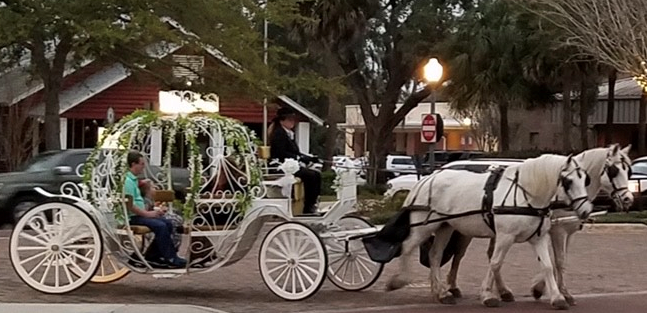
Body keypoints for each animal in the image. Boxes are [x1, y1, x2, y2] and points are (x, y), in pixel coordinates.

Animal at [388, 152, 596, 308]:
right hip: (425, 225)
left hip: (445, 227)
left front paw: (557, 297)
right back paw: (399, 280)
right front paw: (488, 295)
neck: (526, 195)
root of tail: (428, 177)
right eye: (568, 181)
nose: (586, 210)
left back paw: (441, 293)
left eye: (585, 179)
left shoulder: (539, 237)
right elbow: (495, 263)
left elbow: (547, 265)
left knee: (435, 255)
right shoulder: (505, 237)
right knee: (408, 246)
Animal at [436, 146, 632, 304]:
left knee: (487, 255)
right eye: (613, 170)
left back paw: (502, 291)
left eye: (628, 171)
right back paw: (452, 287)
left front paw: (547, 289)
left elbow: (557, 260)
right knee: (459, 255)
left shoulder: (563, 232)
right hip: (464, 228)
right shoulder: (558, 231)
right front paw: (553, 291)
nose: (628, 199)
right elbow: (558, 261)